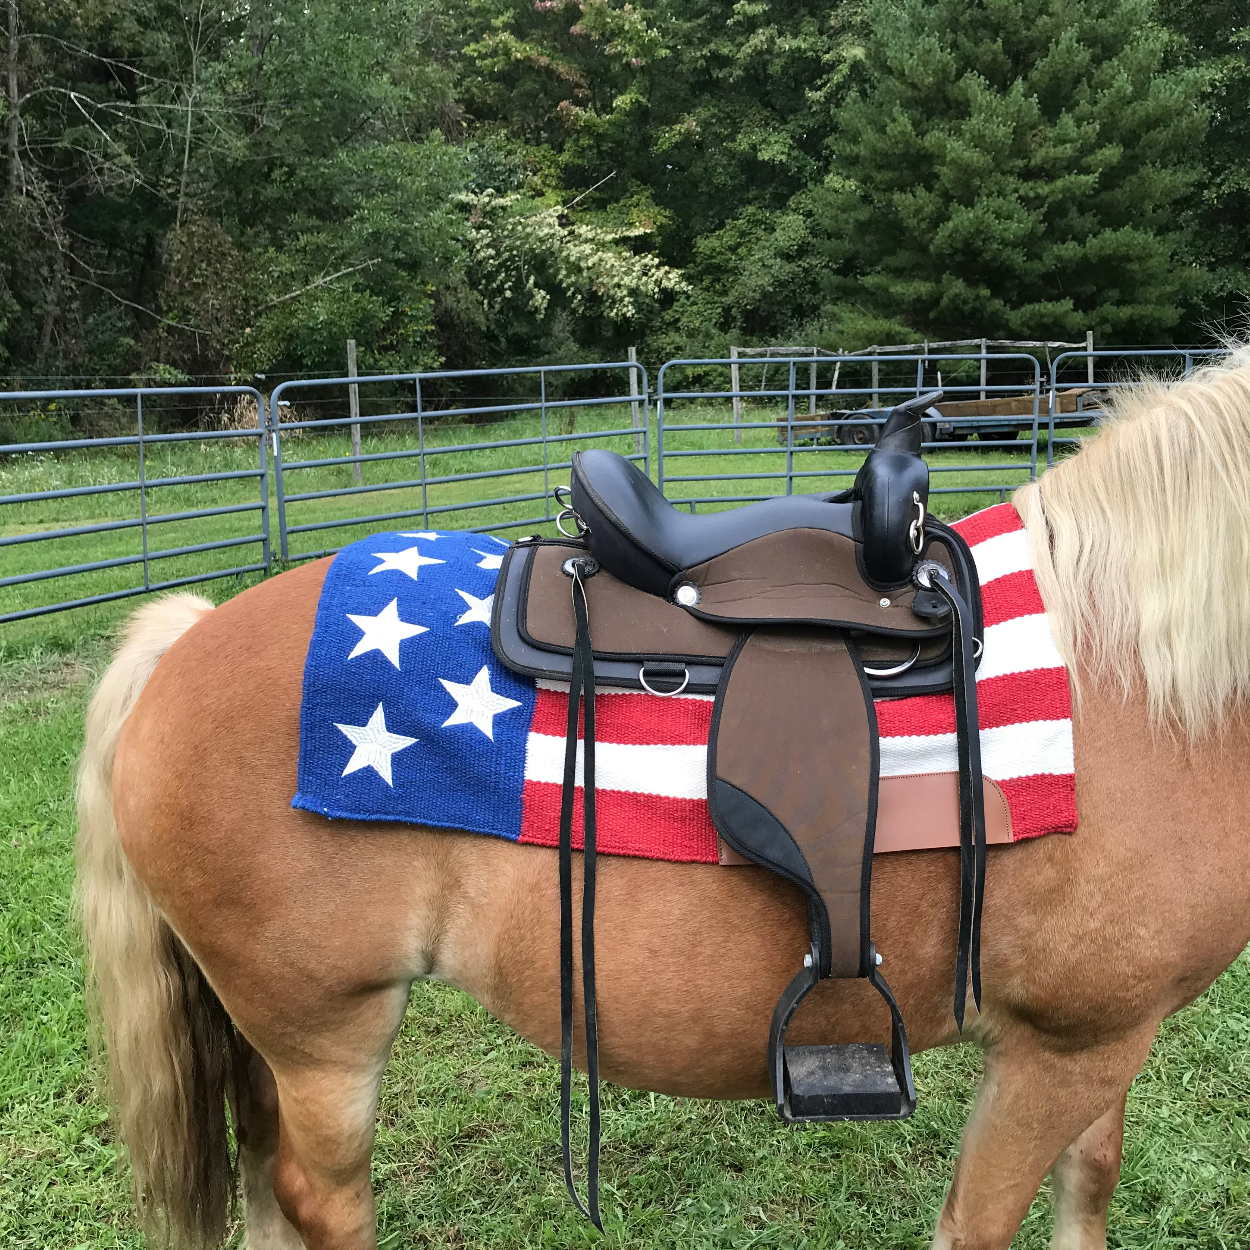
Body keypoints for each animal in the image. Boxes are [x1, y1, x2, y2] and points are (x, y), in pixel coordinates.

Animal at [73, 352, 1250, 1250]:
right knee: (317, 1198)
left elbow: (1089, 1185)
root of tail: (184, 636)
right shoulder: (1064, 1047)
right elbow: (983, 1223)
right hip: (324, 1031)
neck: (1137, 675)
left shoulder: (1104, 1045)